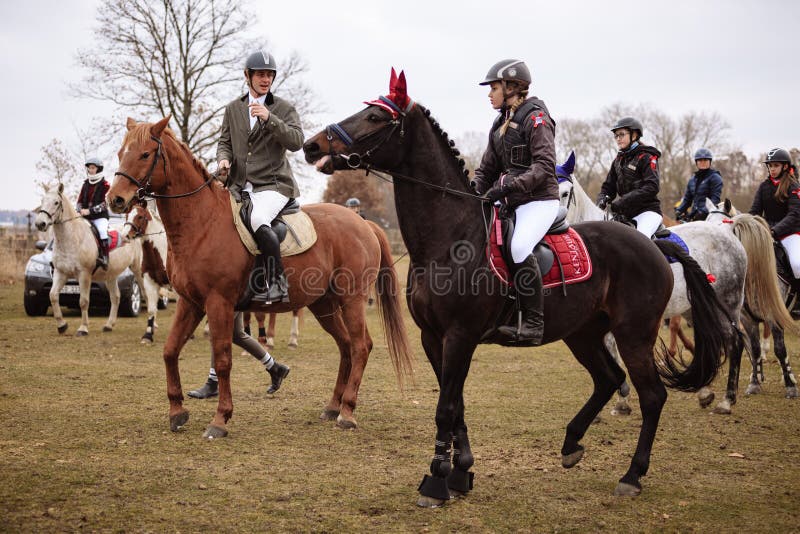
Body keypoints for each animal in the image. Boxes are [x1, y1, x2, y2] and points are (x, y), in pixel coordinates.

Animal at [34, 183, 145, 336]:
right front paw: (62, 325)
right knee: (115, 297)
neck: (71, 239)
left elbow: (84, 301)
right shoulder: (60, 273)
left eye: (56, 202)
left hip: (137, 269)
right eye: (42, 201)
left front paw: (83, 328)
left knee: (145, 292)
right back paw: (109, 325)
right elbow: (53, 296)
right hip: (111, 275)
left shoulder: (84, 274)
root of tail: (132, 231)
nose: (40, 224)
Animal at [105, 117, 412, 440]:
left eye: (145, 154)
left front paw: (220, 419)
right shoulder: (191, 303)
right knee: (345, 346)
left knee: (361, 346)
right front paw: (177, 412)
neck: (201, 222)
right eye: (121, 153)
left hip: (351, 299)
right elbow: (170, 351)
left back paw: (347, 412)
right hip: (324, 305)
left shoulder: (218, 303)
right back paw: (332, 407)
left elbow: (223, 359)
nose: (115, 199)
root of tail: (363, 224)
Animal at [302, 70, 736, 502]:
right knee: (608, 379)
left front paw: (437, 480)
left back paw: (632, 474)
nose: (311, 146)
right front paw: (461, 471)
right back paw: (571, 444)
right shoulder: (432, 337)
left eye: (376, 117)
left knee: (653, 395)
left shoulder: (460, 335)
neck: (449, 239)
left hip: (634, 334)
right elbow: (455, 402)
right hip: (583, 333)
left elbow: (446, 407)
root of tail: (654, 245)